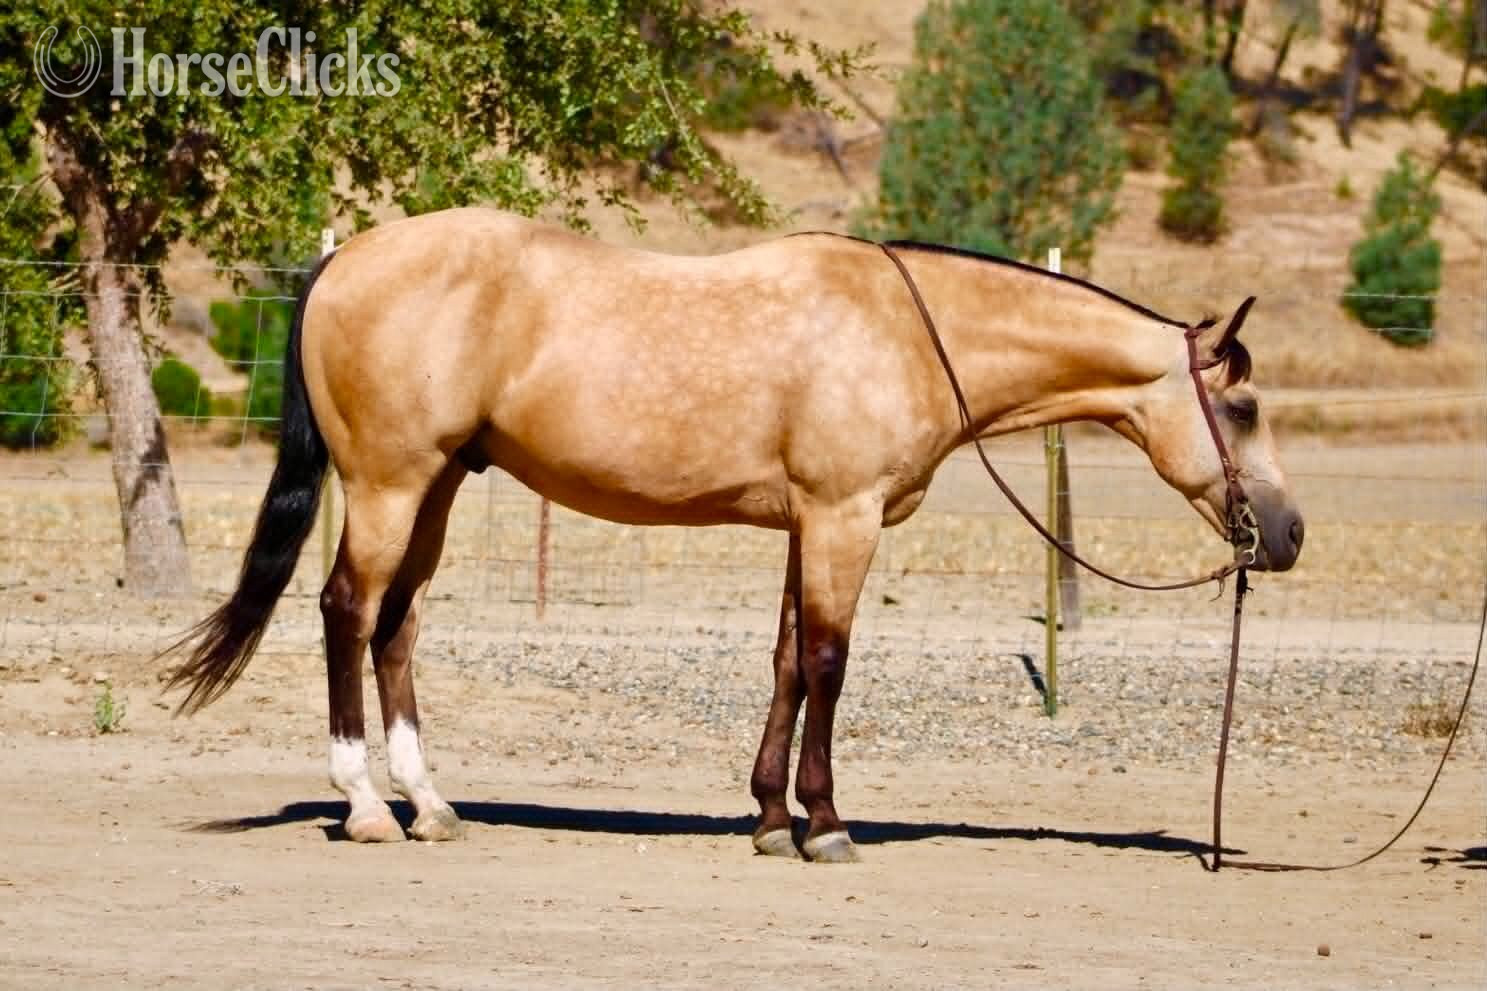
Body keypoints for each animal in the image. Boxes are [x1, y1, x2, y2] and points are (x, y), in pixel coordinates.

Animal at [166, 207, 1303, 863]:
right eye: (1242, 409)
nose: (1287, 534)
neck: (909, 328)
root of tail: (343, 259)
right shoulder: (842, 517)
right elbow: (830, 662)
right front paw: (825, 824)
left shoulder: (808, 521)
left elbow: (787, 662)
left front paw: (766, 819)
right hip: (390, 483)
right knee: (347, 611)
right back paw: (364, 804)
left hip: (437, 485)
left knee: (397, 622)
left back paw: (430, 803)